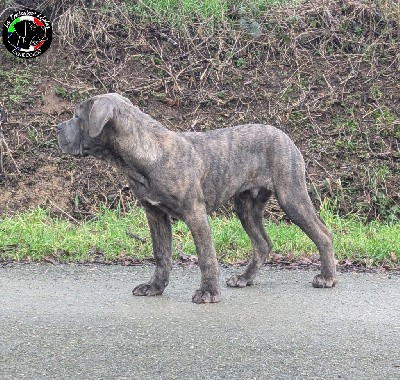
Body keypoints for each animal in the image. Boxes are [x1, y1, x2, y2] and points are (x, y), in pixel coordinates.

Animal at [57, 93, 336, 304]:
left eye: (77, 117)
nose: (58, 127)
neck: (145, 153)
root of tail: (285, 135)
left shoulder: (195, 214)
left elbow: (206, 256)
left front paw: (208, 292)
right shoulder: (155, 214)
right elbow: (162, 254)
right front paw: (155, 287)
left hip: (291, 196)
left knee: (322, 234)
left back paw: (327, 277)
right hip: (246, 206)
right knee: (263, 243)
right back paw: (245, 278)